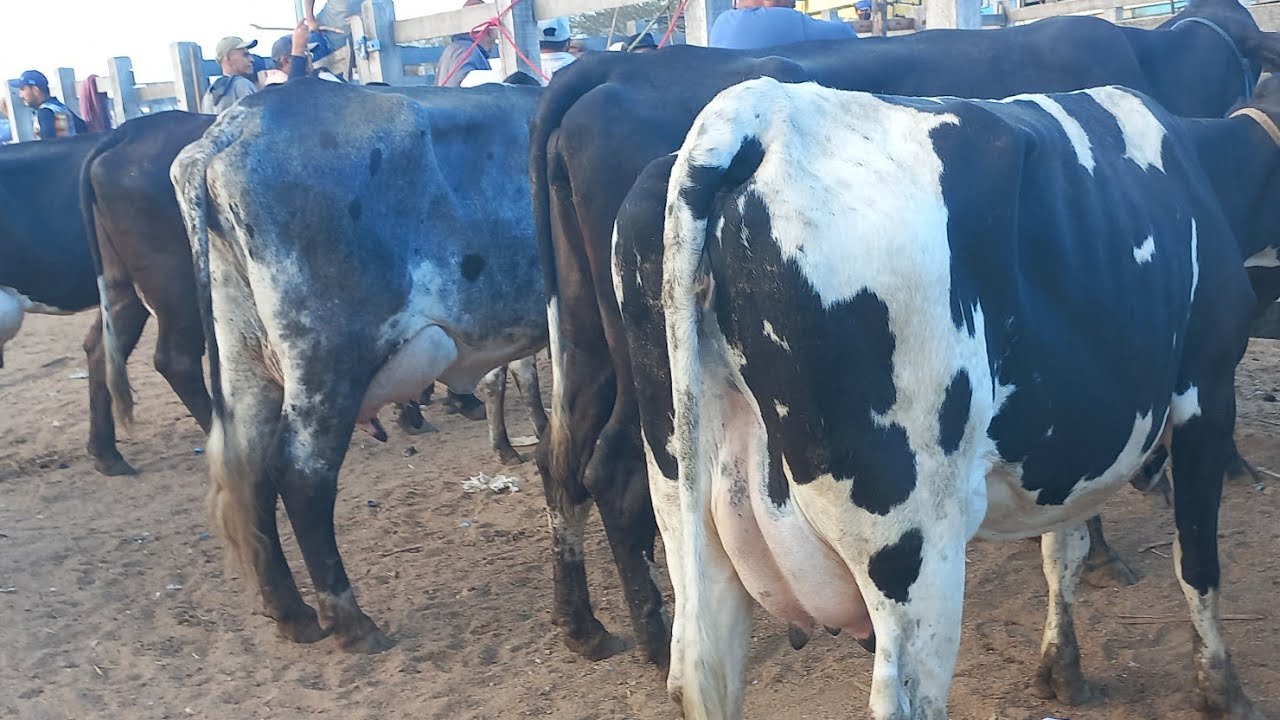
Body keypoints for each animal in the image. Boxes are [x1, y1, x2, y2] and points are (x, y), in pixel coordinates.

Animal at [79, 110, 216, 476]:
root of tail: (129, 130)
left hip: (120, 282)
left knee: (101, 348)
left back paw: (107, 454)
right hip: (179, 284)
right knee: (176, 360)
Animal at [171, 79, 548, 652]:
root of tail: (234, 125)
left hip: (246, 358)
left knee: (250, 474)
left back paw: (293, 614)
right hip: (327, 361)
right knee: (301, 475)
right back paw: (350, 620)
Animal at [528, 0, 1280, 667]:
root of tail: (605, 71)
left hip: (592, 346)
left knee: (566, 462)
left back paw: (586, 625)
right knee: (612, 474)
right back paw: (655, 640)